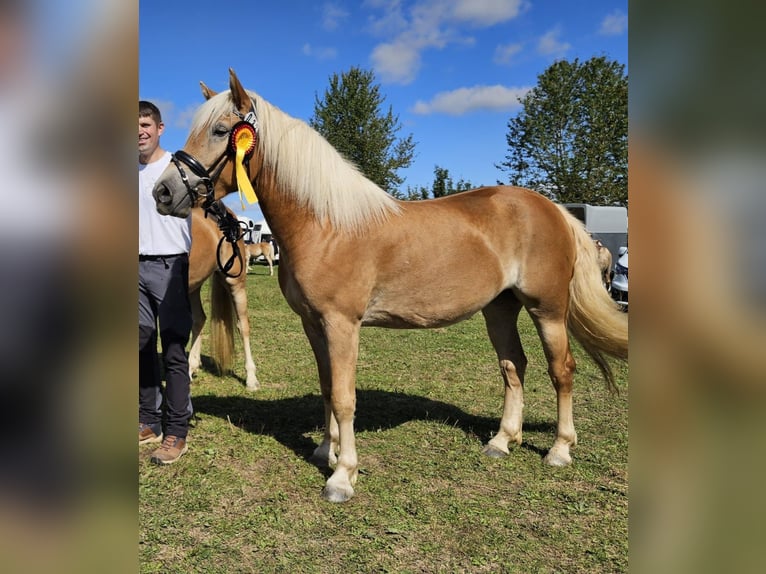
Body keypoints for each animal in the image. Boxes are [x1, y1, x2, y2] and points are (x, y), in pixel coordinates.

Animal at [188, 207, 260, 392]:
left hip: (236, 283)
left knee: (243, 326)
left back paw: (251, 378)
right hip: (193, 285)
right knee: (199, 319)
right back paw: (191, 367)